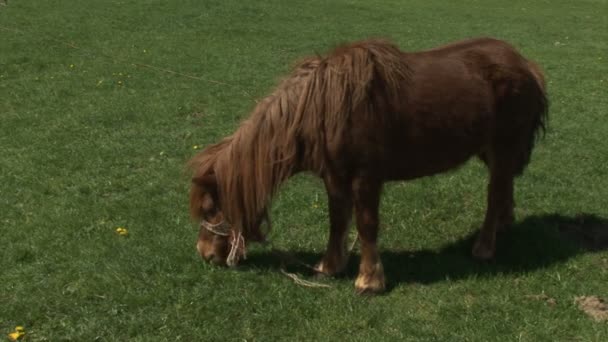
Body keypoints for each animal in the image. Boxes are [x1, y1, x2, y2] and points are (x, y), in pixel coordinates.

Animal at [188, 38, 548, 294]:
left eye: (210, 209)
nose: (204, 254)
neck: (323, 108)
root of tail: (525, 63)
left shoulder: (366, 177)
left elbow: (366, 224)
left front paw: (369, 280)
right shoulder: (334, 177)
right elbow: (337, 221)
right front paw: (330, 266)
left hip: (503, 147)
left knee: (494, 194)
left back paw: (484, 247)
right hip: (490, 151)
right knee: (504, 187)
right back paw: (504, 224)